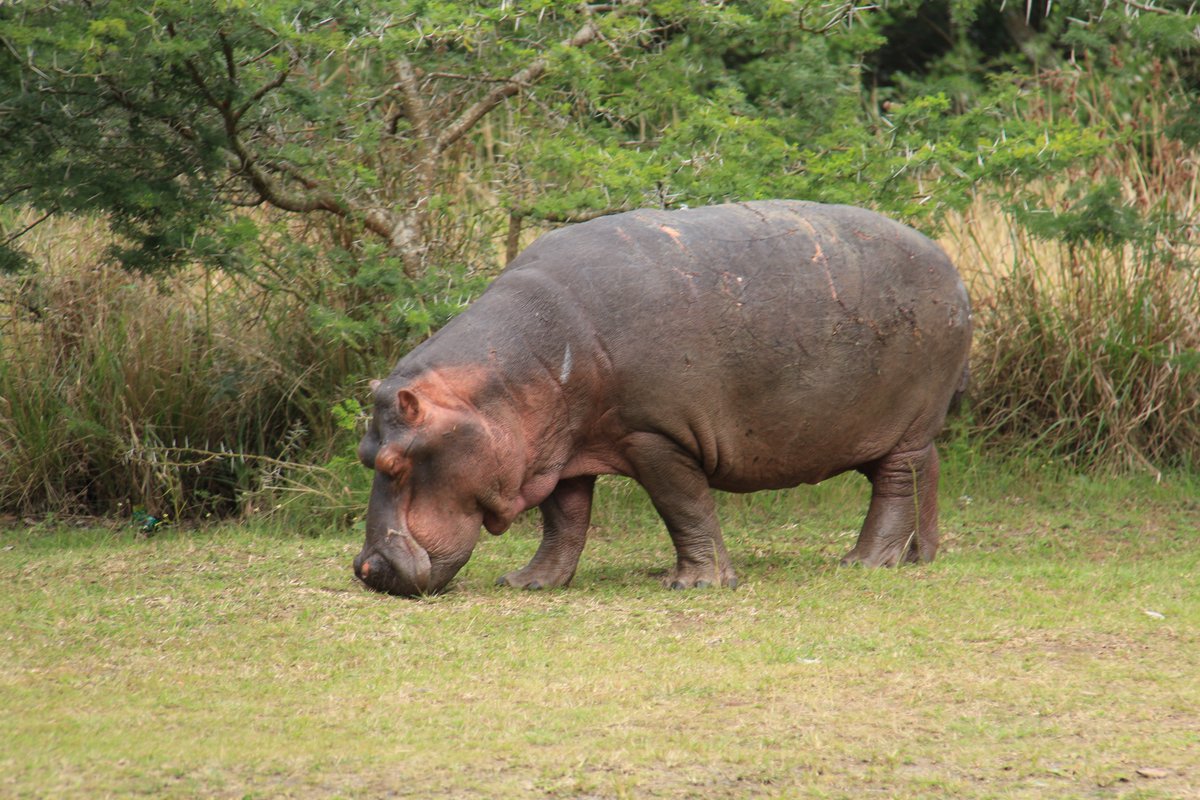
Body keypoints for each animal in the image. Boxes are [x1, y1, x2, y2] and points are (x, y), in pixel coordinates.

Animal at [353, 201, 972, 596]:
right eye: (365, 456)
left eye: (395, 463)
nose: (365, 569)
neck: (502, 382)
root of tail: (952, 266)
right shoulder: (562, 450)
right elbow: (564, 520)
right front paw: (529, 583)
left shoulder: (653, 435)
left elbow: (684, 504)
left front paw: (695, 584)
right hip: (885, 431)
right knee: (929, 472)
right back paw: (920, 557)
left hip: (904, 424)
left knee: (897, 487)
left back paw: (863, 563)